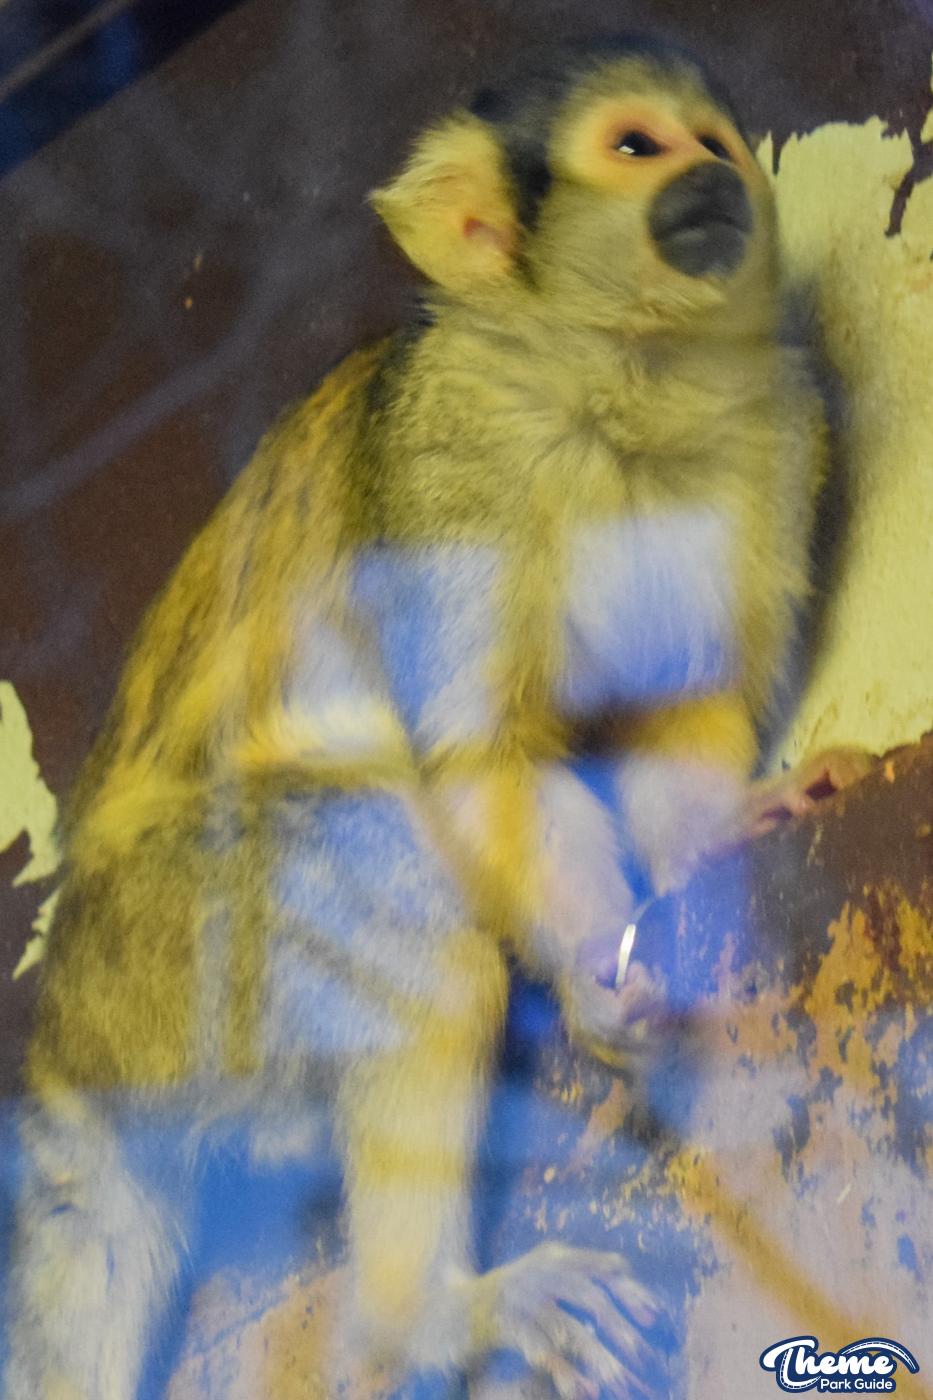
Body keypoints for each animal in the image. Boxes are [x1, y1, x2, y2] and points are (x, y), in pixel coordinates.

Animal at [5, 33, 858, 1400]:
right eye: (637, 146)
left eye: (714, 141)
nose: (711, 179)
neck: (622, 377)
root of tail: (61, 1042)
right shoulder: (450, 458)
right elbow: (475, 758)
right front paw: (596, 958)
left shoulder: (779, 430)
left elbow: (684, 706)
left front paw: (713, 833)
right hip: (170, 964)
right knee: (392, 877)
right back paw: (432, 1315)